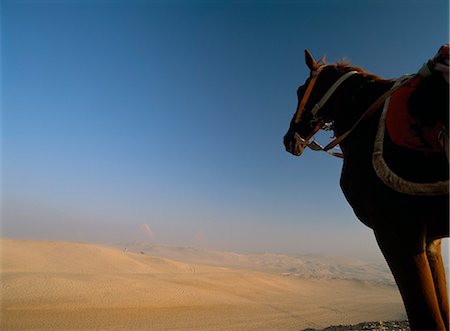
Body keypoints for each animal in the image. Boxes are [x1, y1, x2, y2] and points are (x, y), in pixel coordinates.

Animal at [284, 50, 448, 331]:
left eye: (300, 90)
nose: (289, 140)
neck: (367, 123)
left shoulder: (397, 233)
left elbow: (428, 317)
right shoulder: (430, 242)